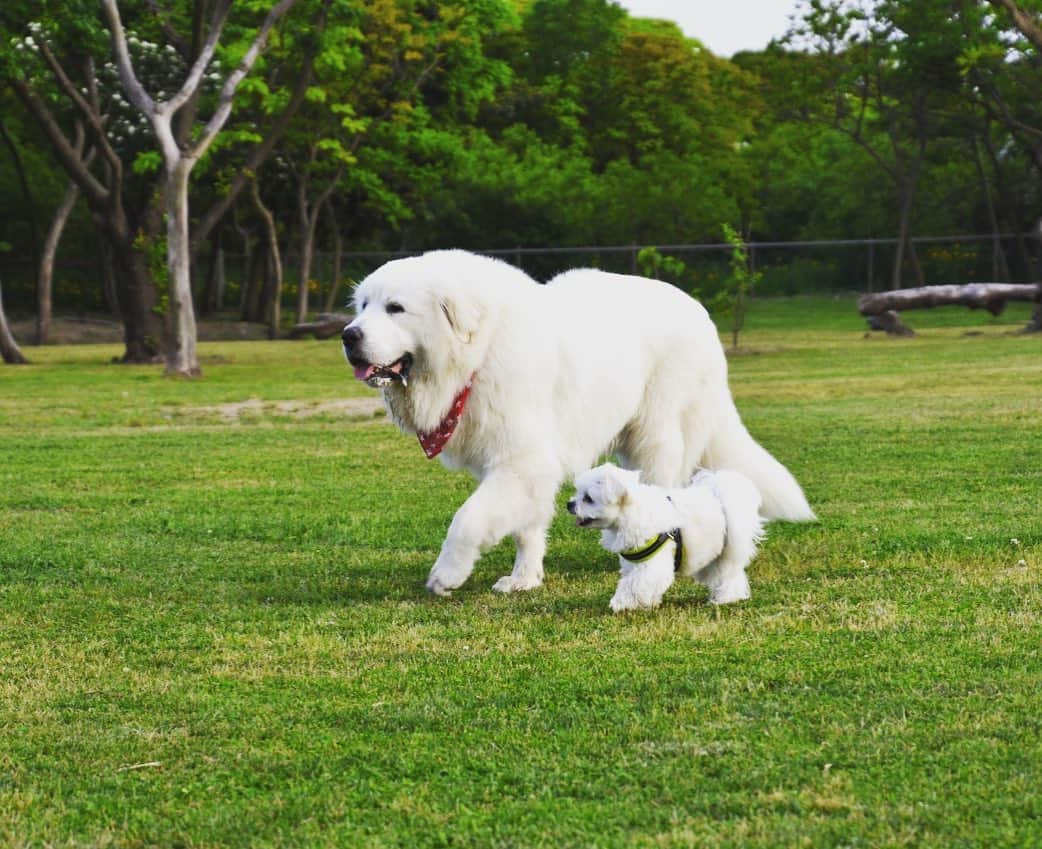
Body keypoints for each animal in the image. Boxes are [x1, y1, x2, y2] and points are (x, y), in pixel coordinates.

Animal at [341, 248, 812, 595]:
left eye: (395, 308)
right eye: (363, 306)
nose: (348, 334)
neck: (478, 351)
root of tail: (699, 311)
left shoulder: (521, 461)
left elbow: (468, 518)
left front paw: (447, 574)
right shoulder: (523, 466)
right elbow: (526, 528)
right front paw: (525, 579)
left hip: (659, 437)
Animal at [571, 464, 766, 612]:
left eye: (588, 498)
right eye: (577, 492)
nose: (569, 504)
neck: (630, 513)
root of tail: (721, 499)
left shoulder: (653, 564)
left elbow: (634, 584)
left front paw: (620, 602)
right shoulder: (634, 562)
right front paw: (648, 602)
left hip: (727, 552)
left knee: (728, 576)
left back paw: (726, 598)